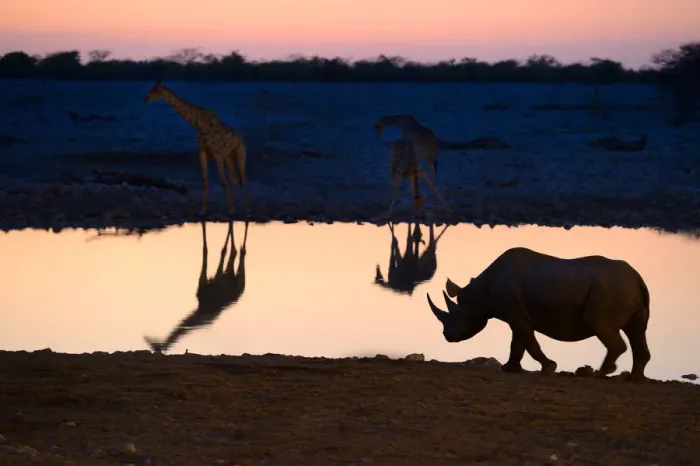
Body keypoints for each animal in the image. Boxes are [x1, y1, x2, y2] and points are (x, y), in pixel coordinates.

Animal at [144, 80, 249, 218]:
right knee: (235, 180)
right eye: (151, 88)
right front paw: (202, 211)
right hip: (228, 158)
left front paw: (228, 210)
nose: (145, 98)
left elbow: (222, 181)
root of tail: (242, 139)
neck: (200, 125)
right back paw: (235, 209)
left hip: (240, 154)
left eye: (156, 90)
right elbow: (204, 180)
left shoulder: (217, 154)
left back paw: (245, 209)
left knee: (243, 179)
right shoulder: (202, 152)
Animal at [144, 220, 248, 353]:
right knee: (233, 250)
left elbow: (219, 252)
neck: (199, 313)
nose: (149, 339)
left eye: (156, 347)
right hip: (230, 275)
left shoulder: (213, 283)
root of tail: (240, 292)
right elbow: (212, 249)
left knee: (240, 252)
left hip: (238, 279)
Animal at [426, 247, 652, 382]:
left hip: (611, 291)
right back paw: (633, 379)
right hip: (624, 290)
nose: (447, 336)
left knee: (601, 325)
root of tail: (638, 279)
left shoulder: (515, 314)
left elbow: (528, 341)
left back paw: (599, 373)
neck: (479, 293)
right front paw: (509, 369)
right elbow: (517, 343)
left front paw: (549, 367)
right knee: (637, 331)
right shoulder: (516, 315)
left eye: (456, 315)